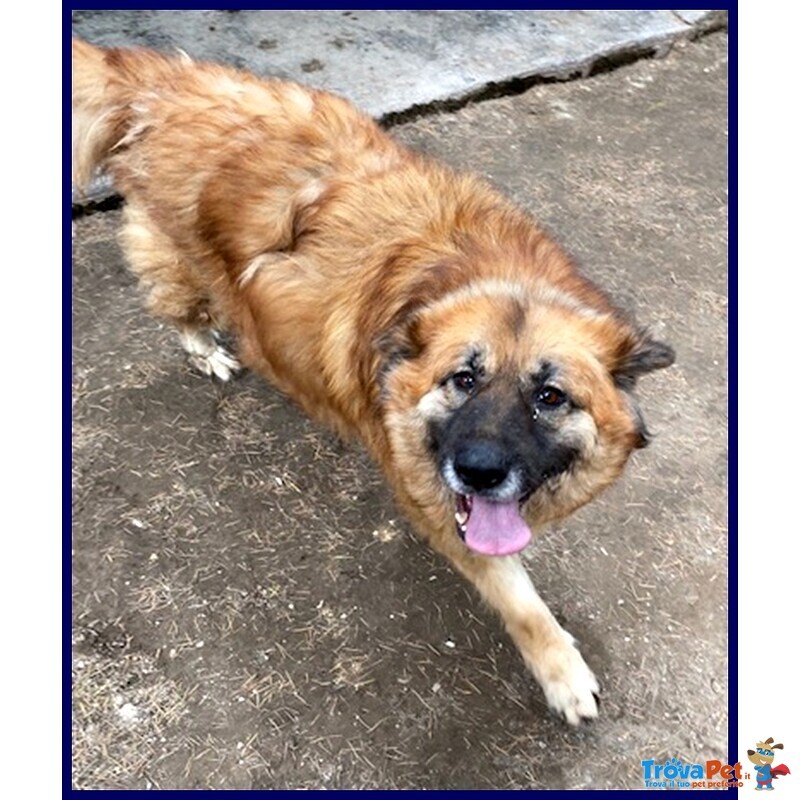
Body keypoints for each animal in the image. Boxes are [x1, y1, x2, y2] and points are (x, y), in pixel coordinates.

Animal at [70, 37, 676, 724]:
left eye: (550, 397)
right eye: (463, 380)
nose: (479, 471)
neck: (477, 269)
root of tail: (163, 82)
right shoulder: (439, 508)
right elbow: (520, 601)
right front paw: (563, 672)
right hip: (181, 263)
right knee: (179, 310)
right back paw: (209, 350)